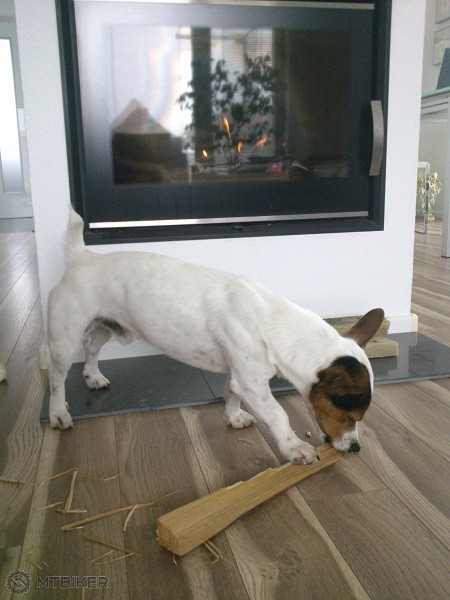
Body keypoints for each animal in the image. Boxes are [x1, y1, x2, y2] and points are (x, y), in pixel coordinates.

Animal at [47, 207, 384, 465]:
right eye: (349, 415)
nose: (356, 448)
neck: (273, 321)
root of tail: (81, 257)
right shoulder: (253, 383)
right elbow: (278, 415)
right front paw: (294, 447)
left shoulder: (239, 376)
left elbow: (231, 394)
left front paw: (233, 417)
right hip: (65, 336)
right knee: (56, 377)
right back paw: (58, 413)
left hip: (107, 326)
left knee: (91, 346)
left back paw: (93, 376)